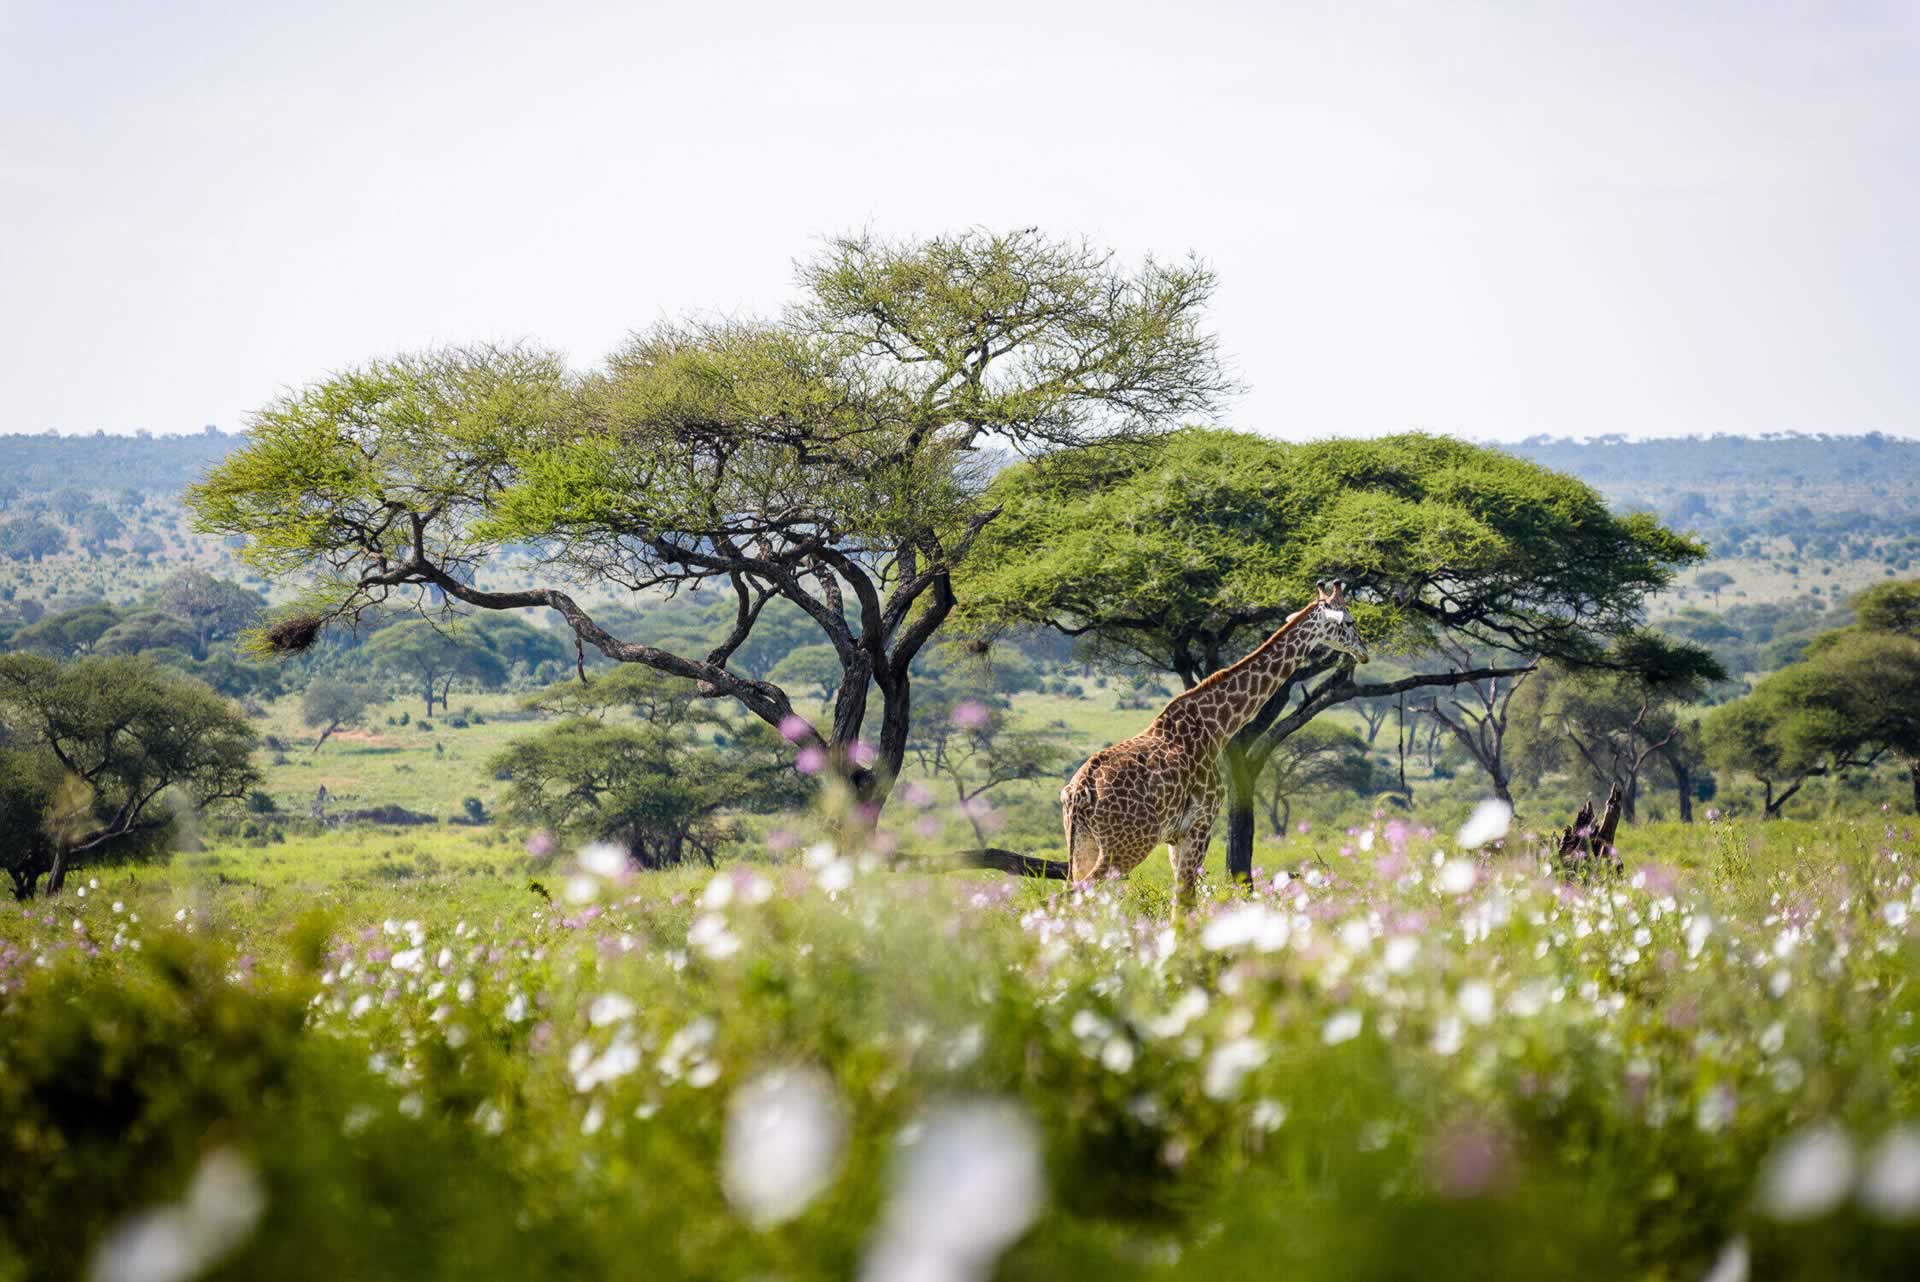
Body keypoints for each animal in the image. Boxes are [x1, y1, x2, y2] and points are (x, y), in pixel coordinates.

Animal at [1067, 579, 1367, 909]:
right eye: (1349, 622)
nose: (1364, 652)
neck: (1217, 725)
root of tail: (1080, 792)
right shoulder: (1201, 823)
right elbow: (1185, 902)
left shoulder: (1176, 836)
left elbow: (1181, 898)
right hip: (1128, 844)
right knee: (1073, 893)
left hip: (1085, 844)